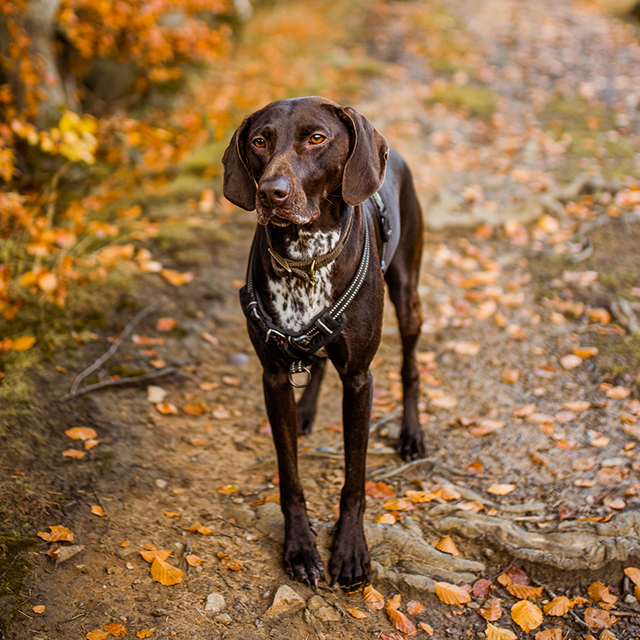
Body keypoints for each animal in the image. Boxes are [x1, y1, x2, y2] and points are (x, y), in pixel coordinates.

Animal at [220, 96, 424, 592]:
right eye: (260, 141)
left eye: (316, 138)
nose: (270, 193)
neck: (306, 260)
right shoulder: (273, 376)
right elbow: (290, 478)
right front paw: (299, 548)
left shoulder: (359, 379)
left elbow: (354, 479)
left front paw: (350, 550)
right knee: (315, 364)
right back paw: (306, 412)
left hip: (408, 294)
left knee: (410, 365)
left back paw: (411, 433)